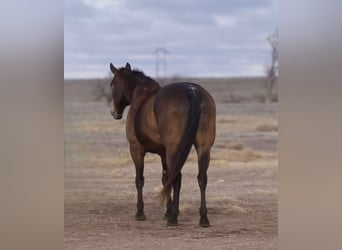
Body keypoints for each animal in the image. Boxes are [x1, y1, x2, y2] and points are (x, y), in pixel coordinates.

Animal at [110, 62, 216, 227]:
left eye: (112, 84)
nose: (114, 112)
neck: (141, 96)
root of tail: (191, 90)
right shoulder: (163, 153)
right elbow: (165, 179)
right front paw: (167, 211)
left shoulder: (136, 149)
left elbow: (139, 180)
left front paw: (140, 212)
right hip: (203, 147)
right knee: (202, 178)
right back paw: (203, 218)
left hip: (174, 150)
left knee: (177, 178)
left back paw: (174, 218)